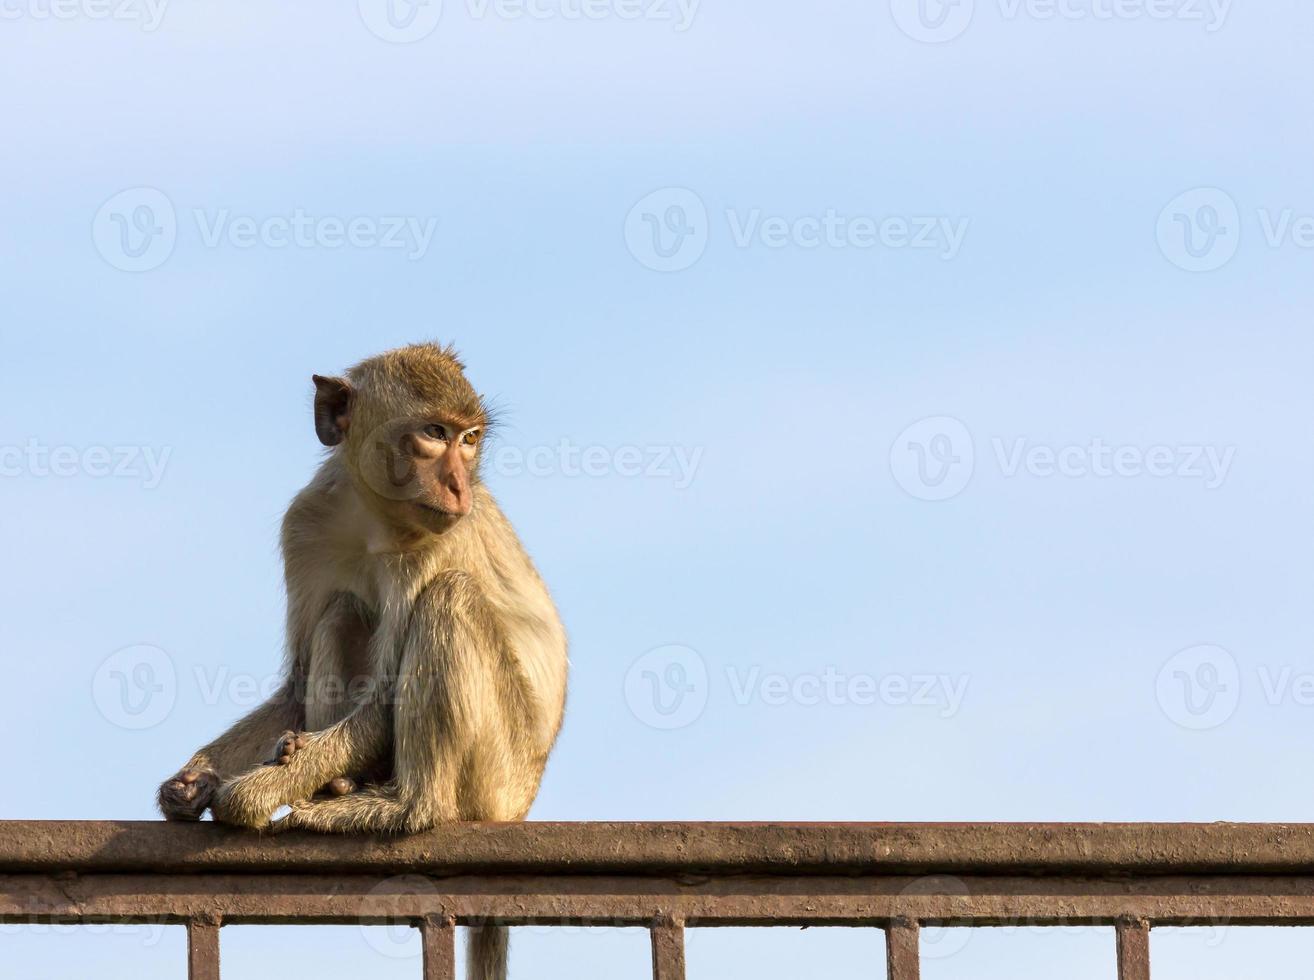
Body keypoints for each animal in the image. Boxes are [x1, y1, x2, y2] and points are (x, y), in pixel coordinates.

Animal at [156, 341, 567, 977]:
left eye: (470, 438)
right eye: (434, 433)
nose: (460, 488)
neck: (373, 517)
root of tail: (519, 809)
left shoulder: (433, 542)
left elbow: (383, 702)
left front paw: (246, 796)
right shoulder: (306, 522)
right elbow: (297, 685)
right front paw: (192, 779)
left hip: (497, 772)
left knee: (449, 597)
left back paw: (402, 806)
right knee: (343, 610)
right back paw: (339, 782)